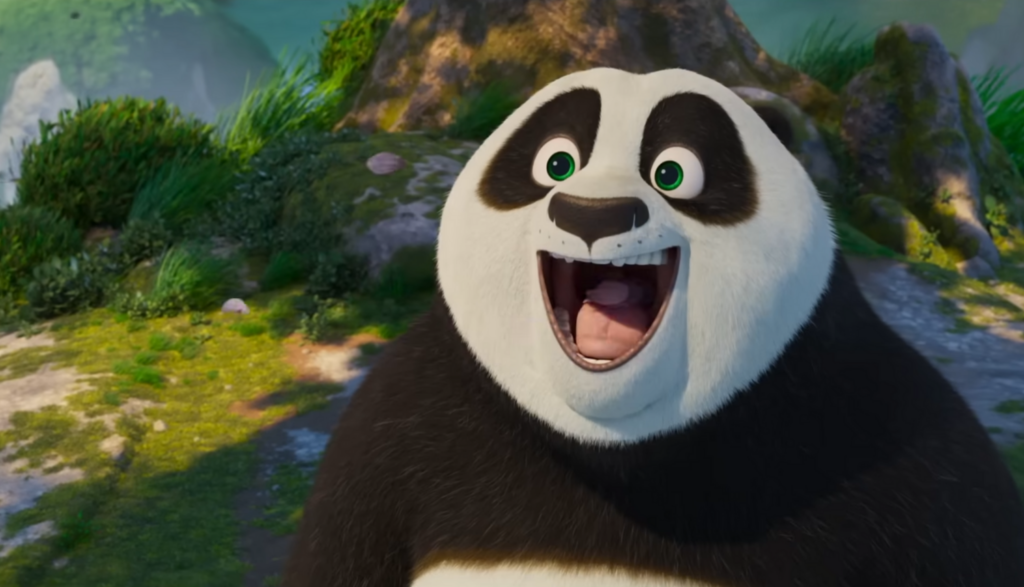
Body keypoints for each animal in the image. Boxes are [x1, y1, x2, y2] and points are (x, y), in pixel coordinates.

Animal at [282, 68, 1024, 586]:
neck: (615, 442)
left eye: (673, 172)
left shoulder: (897, 439)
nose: (593, 214)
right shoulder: (396, 429)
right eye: (556, 162)